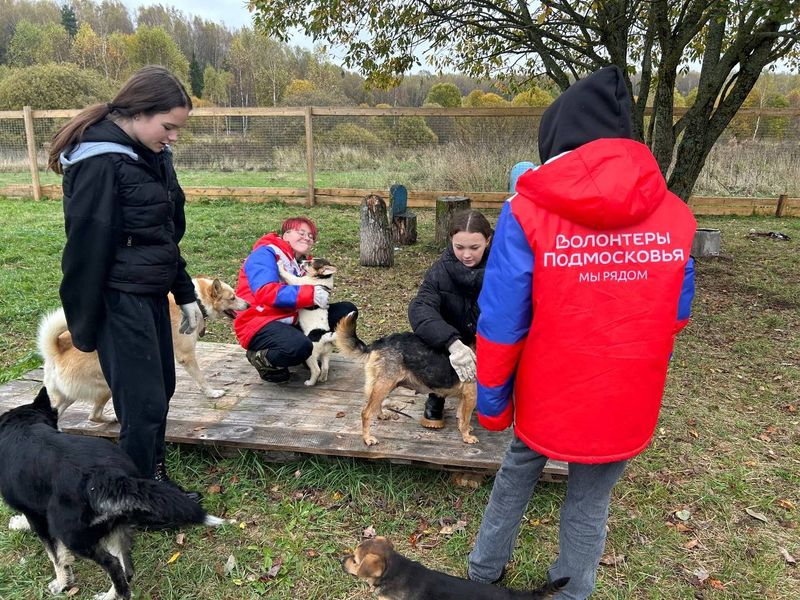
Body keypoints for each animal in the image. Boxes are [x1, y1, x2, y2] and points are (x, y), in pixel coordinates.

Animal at [37, 276, 248, 422]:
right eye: (233, 297)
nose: (248, 304)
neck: (198, 301)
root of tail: (56, 352)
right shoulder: (186, 356)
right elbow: (201, 378)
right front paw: (212, 393)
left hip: (67, 397)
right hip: (106, 387)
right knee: (93, 416)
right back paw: (112, 419)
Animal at [278, 256, 338, 386]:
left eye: (310, 263)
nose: (300, 260)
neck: (321, 279)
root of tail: (323, 335)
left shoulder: (298, 282)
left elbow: (289, 275)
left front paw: (279, 264)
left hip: (310, 356)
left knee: (316, 369)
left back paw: (310, 382)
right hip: (326, 353)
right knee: (325, 367)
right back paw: (322, 379)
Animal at [334, 314, 478, 446]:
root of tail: (378, 343)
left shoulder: (465, 396)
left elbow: (461, 416)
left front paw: (463, 430)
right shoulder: (471, 395)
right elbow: (466, 418)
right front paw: (466, 436)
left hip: (384, 385)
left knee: (374, 404)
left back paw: (381, 415)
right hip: (384, 385)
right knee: (366, 412)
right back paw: (367, 438)